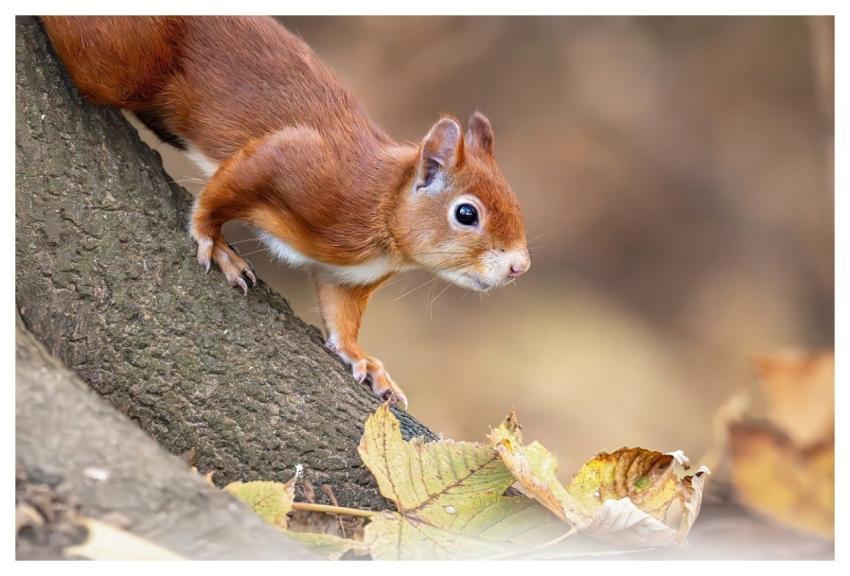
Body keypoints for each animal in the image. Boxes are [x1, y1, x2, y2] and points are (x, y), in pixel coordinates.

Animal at [42, 16, 530, 408]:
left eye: (515, 202)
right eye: (466, 214)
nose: (519, 267)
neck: (382, 210)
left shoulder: (347, 278)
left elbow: (340, 317)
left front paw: (365, 361)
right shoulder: (296, 161)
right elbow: (225, 189)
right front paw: (214, 242)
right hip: (115, 64)